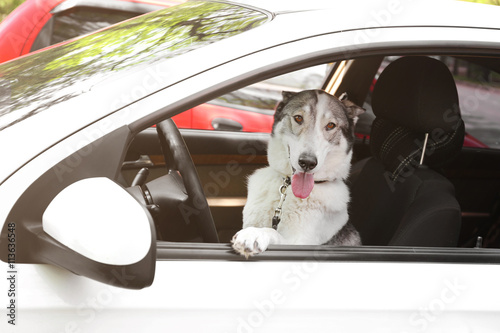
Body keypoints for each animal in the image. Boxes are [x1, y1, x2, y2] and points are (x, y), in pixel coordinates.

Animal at [230, 89, 364, 256]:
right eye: (298, 118)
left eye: (331, 125)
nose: (307, 163)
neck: (289, 189)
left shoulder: (300, 243)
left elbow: (272, 231)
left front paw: (255, 234)